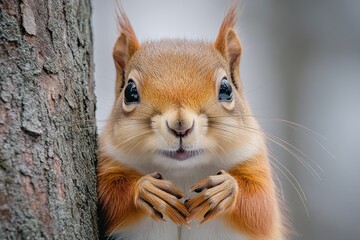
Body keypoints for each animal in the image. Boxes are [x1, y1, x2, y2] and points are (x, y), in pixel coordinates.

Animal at [97, 3, 286, 240]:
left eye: (226, 89)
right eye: (130, 92)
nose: (180, 126)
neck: (184, 171)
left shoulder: (254, 159)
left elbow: (261, 208)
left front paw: (225, 188)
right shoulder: (108, 160)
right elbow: (108, 193)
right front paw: (146, 189)